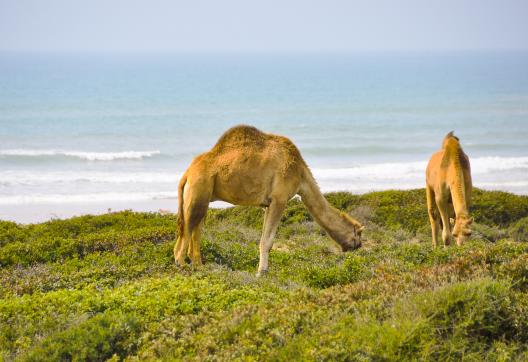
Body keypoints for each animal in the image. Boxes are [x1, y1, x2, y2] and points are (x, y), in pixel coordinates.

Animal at [173, 124, 364, 274]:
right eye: (358, 234)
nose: (359, 246)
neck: (300, 173)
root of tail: (187, 173)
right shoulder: (280, 199)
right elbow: (268, 241)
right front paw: (262, 272)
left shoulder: (267, 204)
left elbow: (264, 238)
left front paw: (262, 270)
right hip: (199, 187)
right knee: (188, 228)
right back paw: (181, 265)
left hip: (204, 195)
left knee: (195, 228)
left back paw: (199, 266)